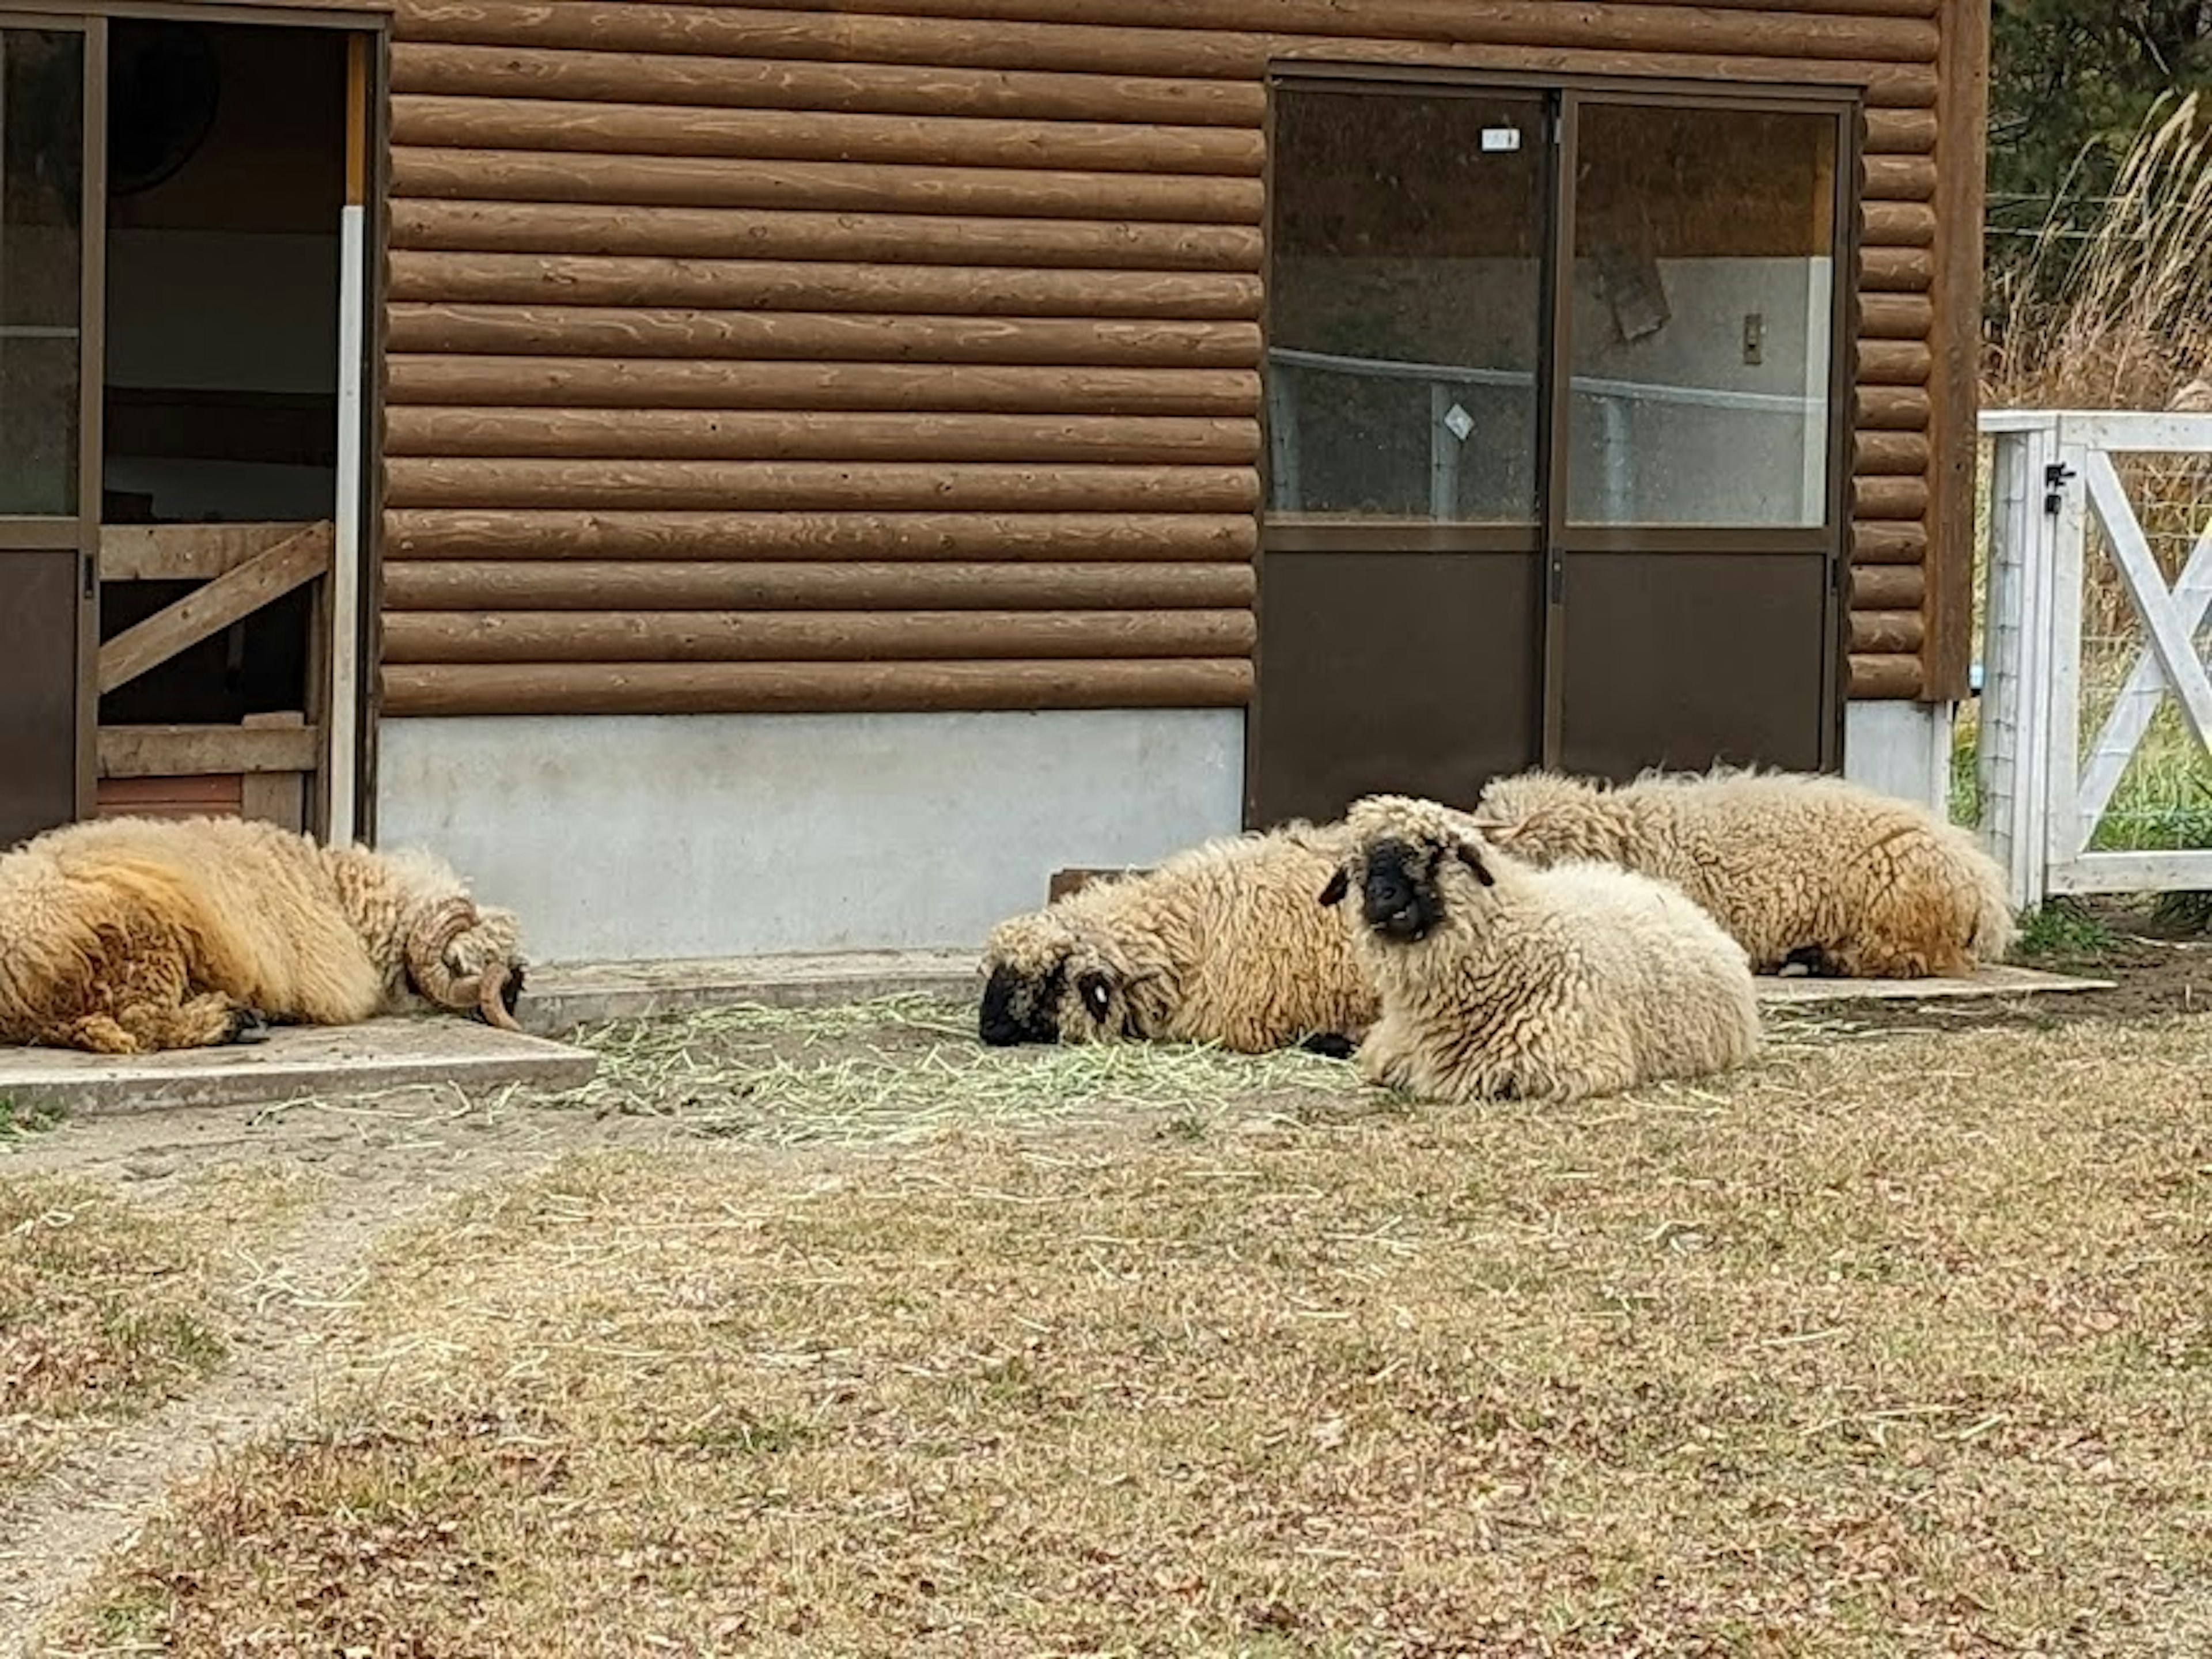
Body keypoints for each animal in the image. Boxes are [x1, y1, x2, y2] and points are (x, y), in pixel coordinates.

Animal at [0, 814, 531, 1057]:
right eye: (463, 964)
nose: (511, 995)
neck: (337, 891)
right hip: (147, 936)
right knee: (145, 1024)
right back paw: (234, 1021)